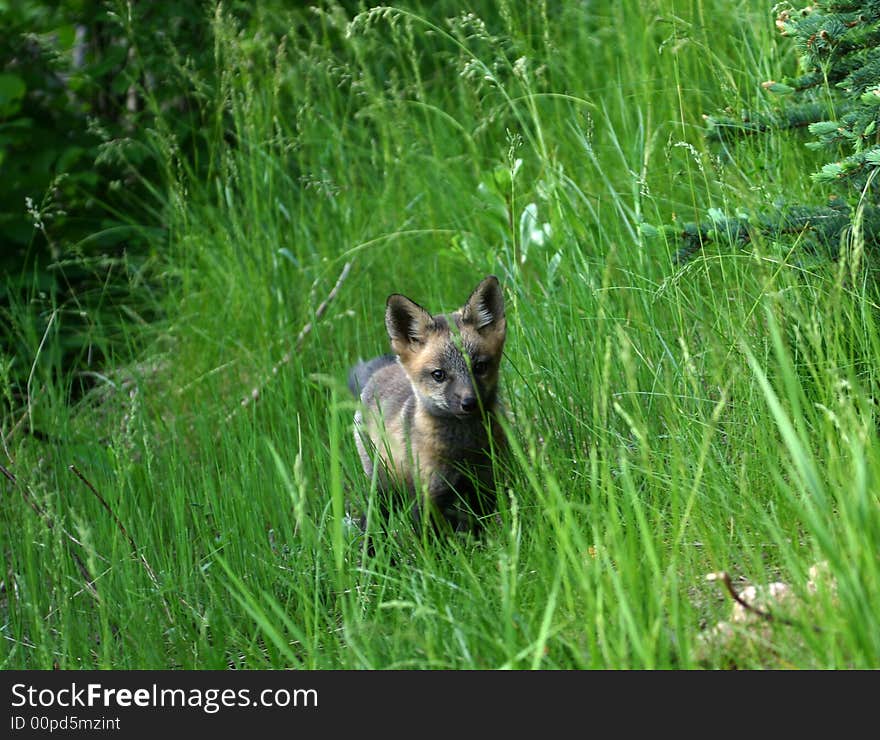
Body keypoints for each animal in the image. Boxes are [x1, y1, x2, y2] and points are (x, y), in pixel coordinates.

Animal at [346, 274, 506, 536]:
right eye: (438, 375)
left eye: (480, 367)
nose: (469, 403)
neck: (463, 450)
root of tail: (381, 369)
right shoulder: (428, 496)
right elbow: (429, 541)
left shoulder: (484, 487)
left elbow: (478, 532)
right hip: (383, 488)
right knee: (372, 522)